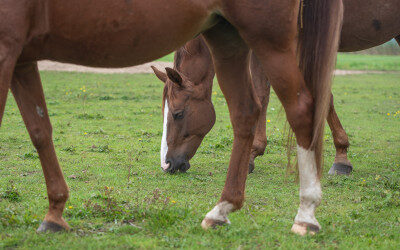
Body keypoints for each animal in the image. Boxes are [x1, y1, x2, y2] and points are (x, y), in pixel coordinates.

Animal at [0, 0, 344, 235]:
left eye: (177, 113)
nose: (166, 165)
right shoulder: (23, 58)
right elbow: (40, 131)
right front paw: (54, 214)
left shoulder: (7, 50)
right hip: (228, 37)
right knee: (246, 112)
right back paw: (221, 210)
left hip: (270, 41)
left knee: (302, 110)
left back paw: (306, 213)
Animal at [153, 0, 400, 176]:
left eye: (178, 114)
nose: (166, 164)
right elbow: (261, 95)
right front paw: (254, 153)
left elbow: (323, 96)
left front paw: (341, 158)